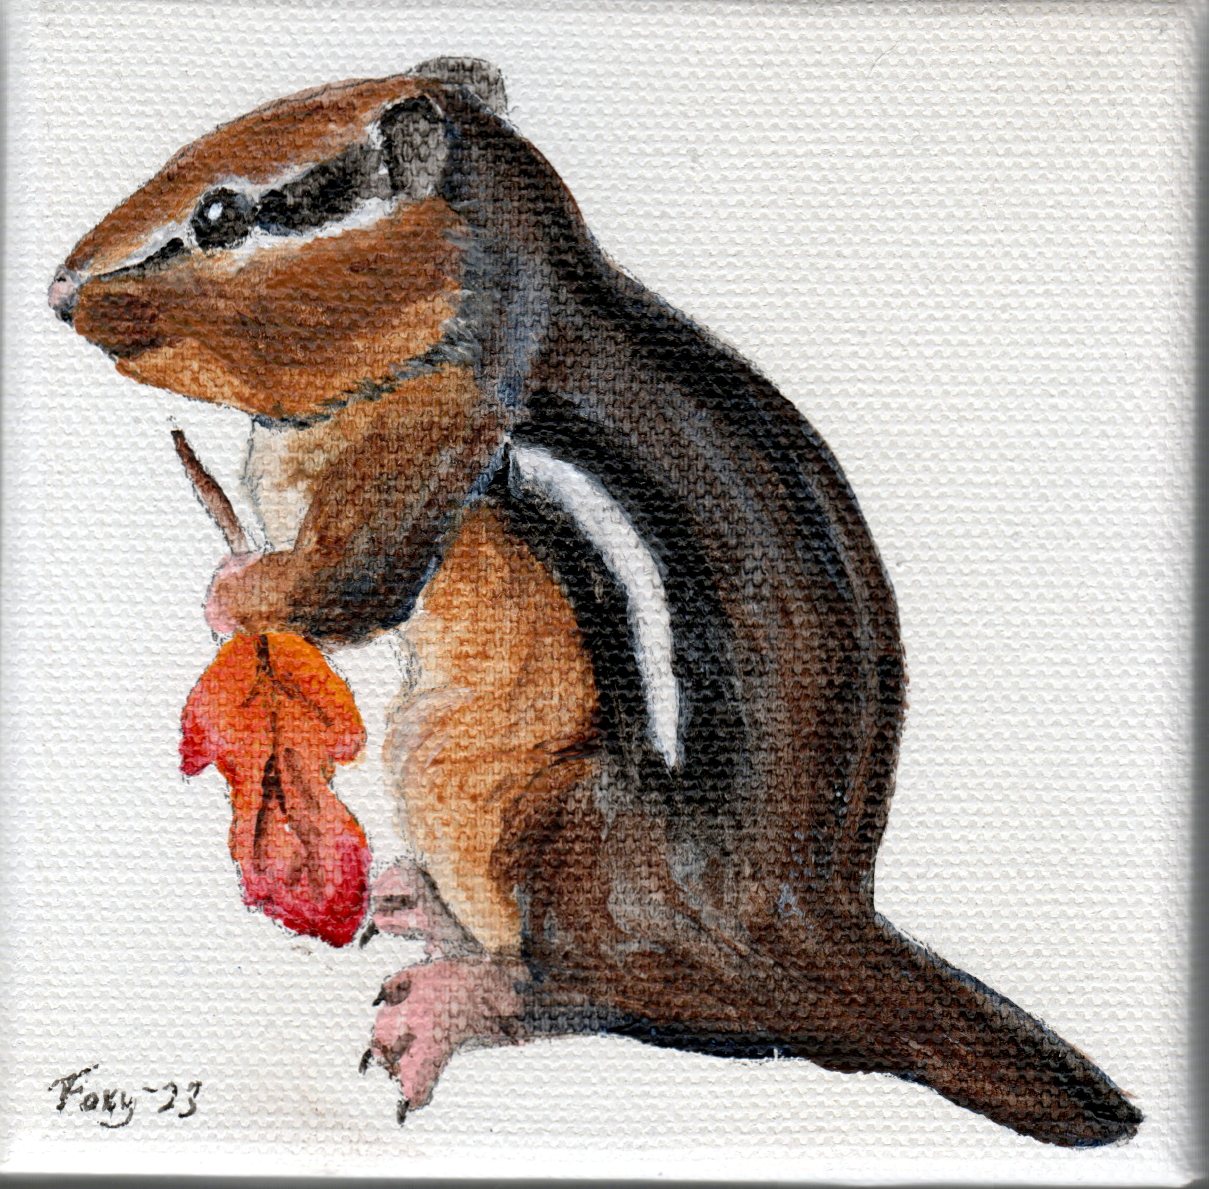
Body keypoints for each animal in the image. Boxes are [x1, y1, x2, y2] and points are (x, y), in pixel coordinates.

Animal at [49, 57, 1140, 1146]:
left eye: (222, 214)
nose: (60, 292)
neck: (484, 300)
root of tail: (797, 931)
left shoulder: (425, 447)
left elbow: (346, 584)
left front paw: (232, 593)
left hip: (522, 811)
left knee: (586, 988)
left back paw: (456, 999)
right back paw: (420, 901)